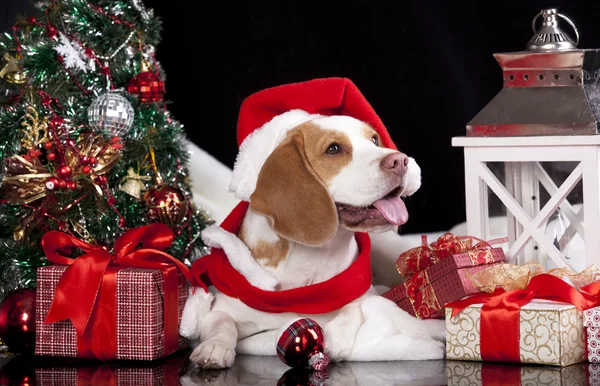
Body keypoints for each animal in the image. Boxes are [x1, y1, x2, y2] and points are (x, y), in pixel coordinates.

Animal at [182, 114, 446, 368]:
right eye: (333, 149)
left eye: (374, 140)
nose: (401, 160)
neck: (311, 258)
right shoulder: (221, 306)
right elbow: (221, 324)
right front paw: (214, 347)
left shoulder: (365, 291)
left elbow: (356, 305)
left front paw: (336, 334)